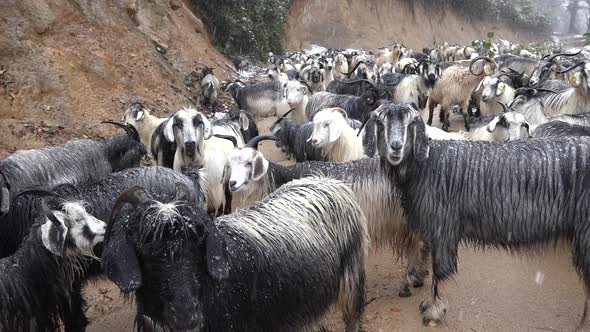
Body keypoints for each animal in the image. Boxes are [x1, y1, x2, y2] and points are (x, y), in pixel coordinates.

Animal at [372, 101, 590, 330]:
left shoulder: (444, 225)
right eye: (381, 122)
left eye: (411, 123)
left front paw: (434, 312)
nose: (395, 147)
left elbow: (441, 270)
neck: (428, 165)